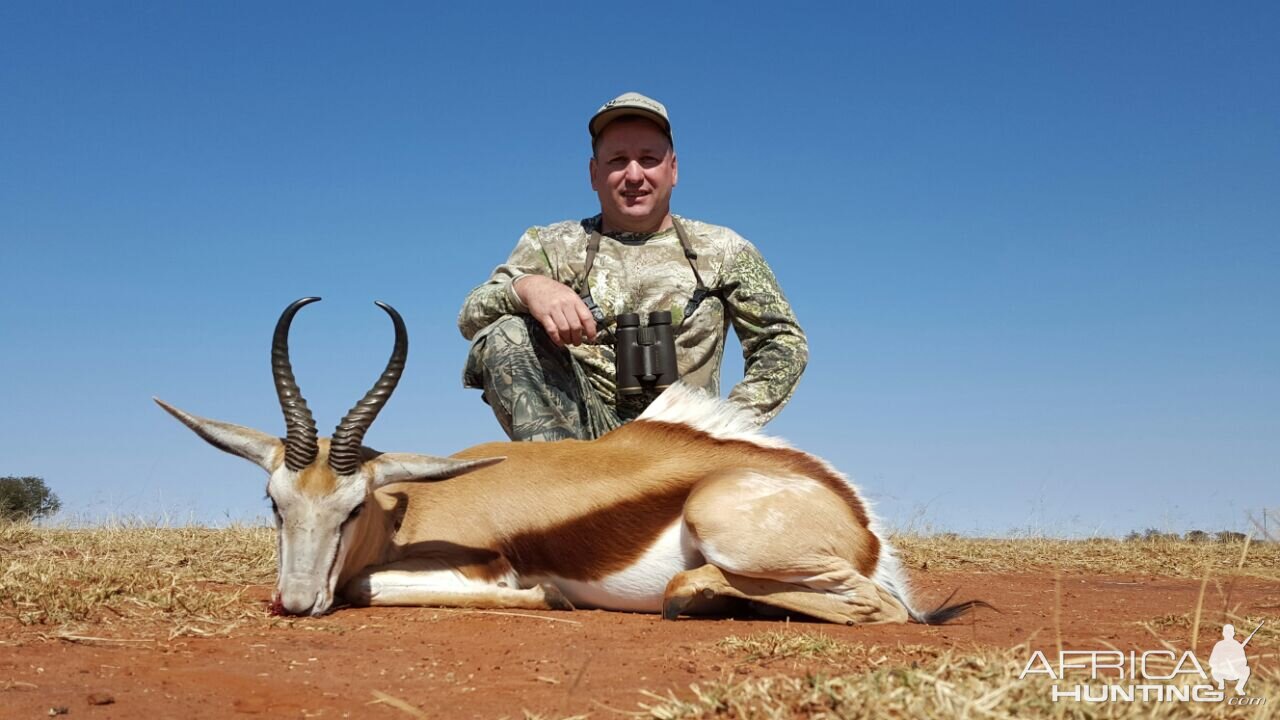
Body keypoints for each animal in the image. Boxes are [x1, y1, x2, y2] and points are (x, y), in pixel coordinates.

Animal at [154, 297, 983, 622]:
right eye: (275, 503)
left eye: (352, 506)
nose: (294, 602)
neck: (412, 509)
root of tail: (860, 522)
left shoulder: (478, 568)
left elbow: (365, 586)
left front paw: (547, 597)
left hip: (727, 526)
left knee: (881, 609)